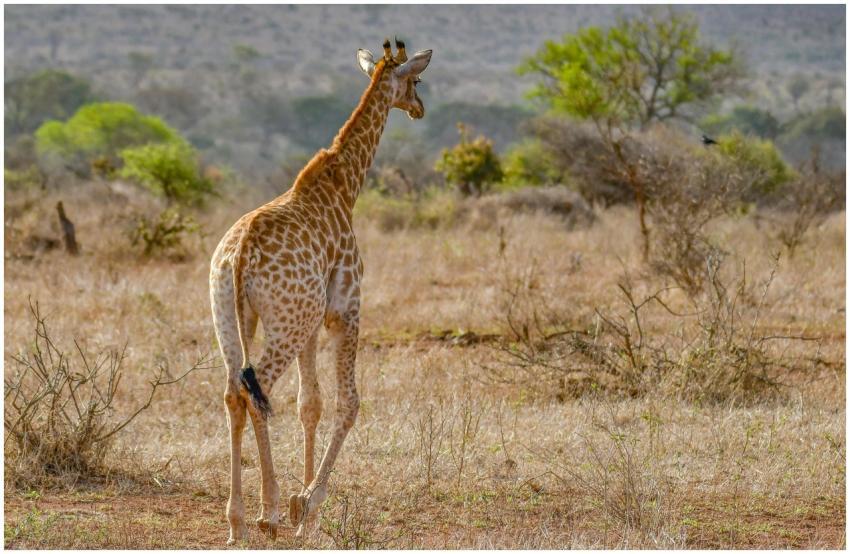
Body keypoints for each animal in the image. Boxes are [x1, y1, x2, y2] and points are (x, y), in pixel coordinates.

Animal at [209, 38, 432, 544]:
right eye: (416, 79)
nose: (420, 109)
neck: (345, 185)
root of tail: (239, 255)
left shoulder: (312, 321)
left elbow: (309, 404)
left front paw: (301, 502)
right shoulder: (345, 307)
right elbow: (349, 403)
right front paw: (307, 503)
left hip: (232, 317)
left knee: (233, 392)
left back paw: (236, 521)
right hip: (284, 324)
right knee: (255, 390)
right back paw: (267, 512)